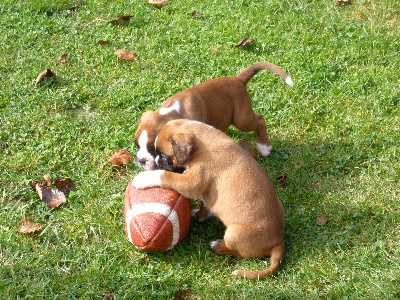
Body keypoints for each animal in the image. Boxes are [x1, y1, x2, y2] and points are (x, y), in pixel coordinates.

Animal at [133, 119, 286, 278]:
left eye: (162, 155)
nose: (156, 161)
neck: (203, 144)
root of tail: (278, 240)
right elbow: (205, 204)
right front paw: (198, 214)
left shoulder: (192, 183)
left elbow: (167, 176)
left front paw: (144, 178)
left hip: (233, 233)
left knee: (237, 252)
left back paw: (218, 246)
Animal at [134, 62, 294, 170]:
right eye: (137, 145)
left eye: (153, 149)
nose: (141, 160)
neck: (172, 111)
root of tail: (237, 79)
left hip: (242, 119)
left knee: (259, 119)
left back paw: (264, 146)